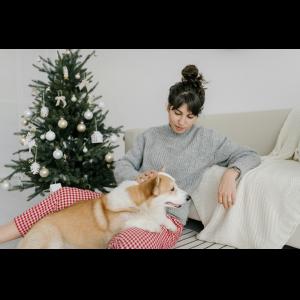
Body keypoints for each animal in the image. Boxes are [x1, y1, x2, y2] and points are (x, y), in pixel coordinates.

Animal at [17, 172, 190, 250]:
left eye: (176, 186)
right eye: (172, 189)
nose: (189, 197)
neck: (140, 204)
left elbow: (162, 218)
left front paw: (170, 226)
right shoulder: (117, 225)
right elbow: (136, 220)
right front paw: (154, 226)